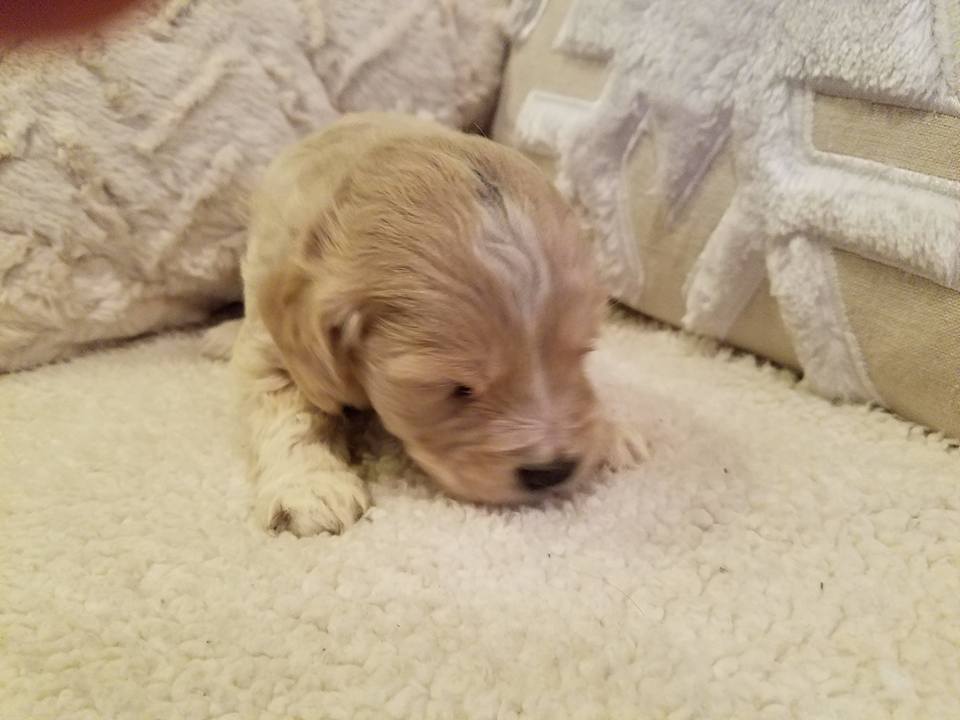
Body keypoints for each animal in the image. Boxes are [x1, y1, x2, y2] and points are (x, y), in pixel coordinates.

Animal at [229, 108, 640, 536]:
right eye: (458, 388)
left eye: (580, 357)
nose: (554, 471)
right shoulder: (276, 347)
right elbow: (292, 414)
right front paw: (310, 488)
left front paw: (611, 434)